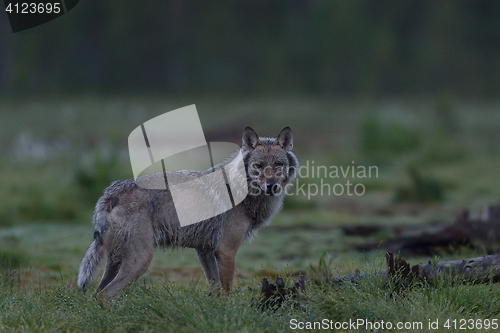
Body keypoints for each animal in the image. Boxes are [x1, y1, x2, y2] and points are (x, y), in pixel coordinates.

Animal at [77, 126, 296, 300]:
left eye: (278, 165)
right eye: (258, 166)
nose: (272, 186)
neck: (243, 190)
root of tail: (111, 193)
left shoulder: (204, 250)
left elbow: (215, 289)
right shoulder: (226, 250)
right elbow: (227, 291)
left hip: (115, 262)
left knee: (96, 294)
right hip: (141, 260)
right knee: (106, 294)